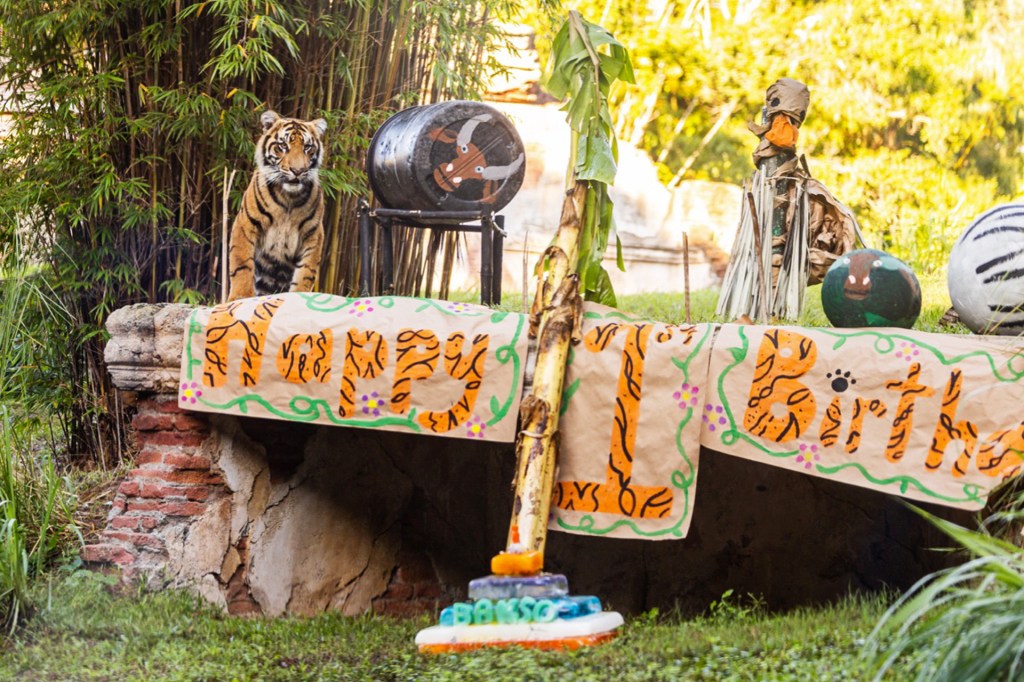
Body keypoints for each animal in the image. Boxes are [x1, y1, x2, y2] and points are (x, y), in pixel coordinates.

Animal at [227, 110, 328, 301]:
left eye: (307, 147)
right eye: (283, 146)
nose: (298, 171)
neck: (289, 198)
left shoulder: (313, 235)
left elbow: (306, 272)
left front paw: (298, 298)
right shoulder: (245, 224)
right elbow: (242, 264)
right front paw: (240, 297)